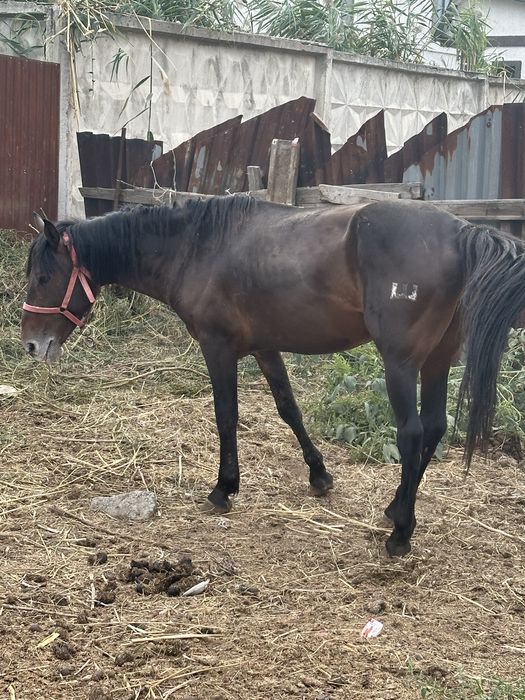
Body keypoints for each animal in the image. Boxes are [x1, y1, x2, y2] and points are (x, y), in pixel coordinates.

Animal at [21, 196, 525, 556]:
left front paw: (224, 488)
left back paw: (400, 532)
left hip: (401, 363)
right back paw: (395, 509)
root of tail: (461, 231)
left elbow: (226, 416)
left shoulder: (218, 347)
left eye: (44, 277)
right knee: (436, 428)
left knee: (412, 433)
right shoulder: (265, 347)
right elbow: (288, 409)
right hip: (438, 360)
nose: (30, 345)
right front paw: (319, 475)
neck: (198, 247)